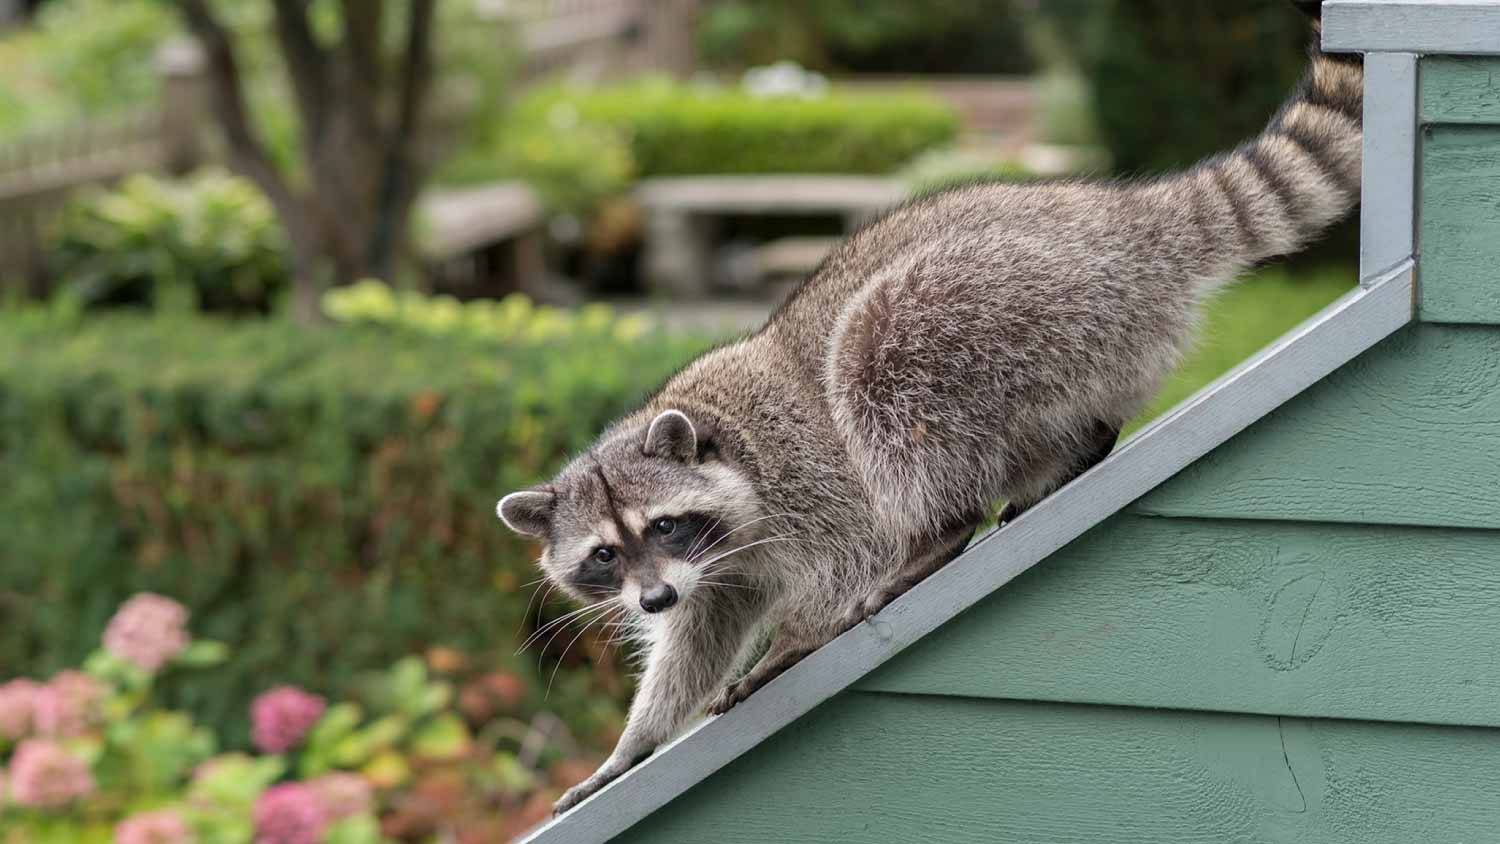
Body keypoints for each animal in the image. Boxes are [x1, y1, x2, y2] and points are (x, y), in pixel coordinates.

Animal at [501, 4, 1362, 809]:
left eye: (662, 526)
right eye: (604, 555)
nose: (652, 596)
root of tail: (1126, 225)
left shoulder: (798, 476)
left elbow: (849, 550)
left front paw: (795, 638)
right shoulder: (717, 573)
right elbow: (698, 639)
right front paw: (632, 745)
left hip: (998, 302)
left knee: (879, 366)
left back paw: (938, 532)